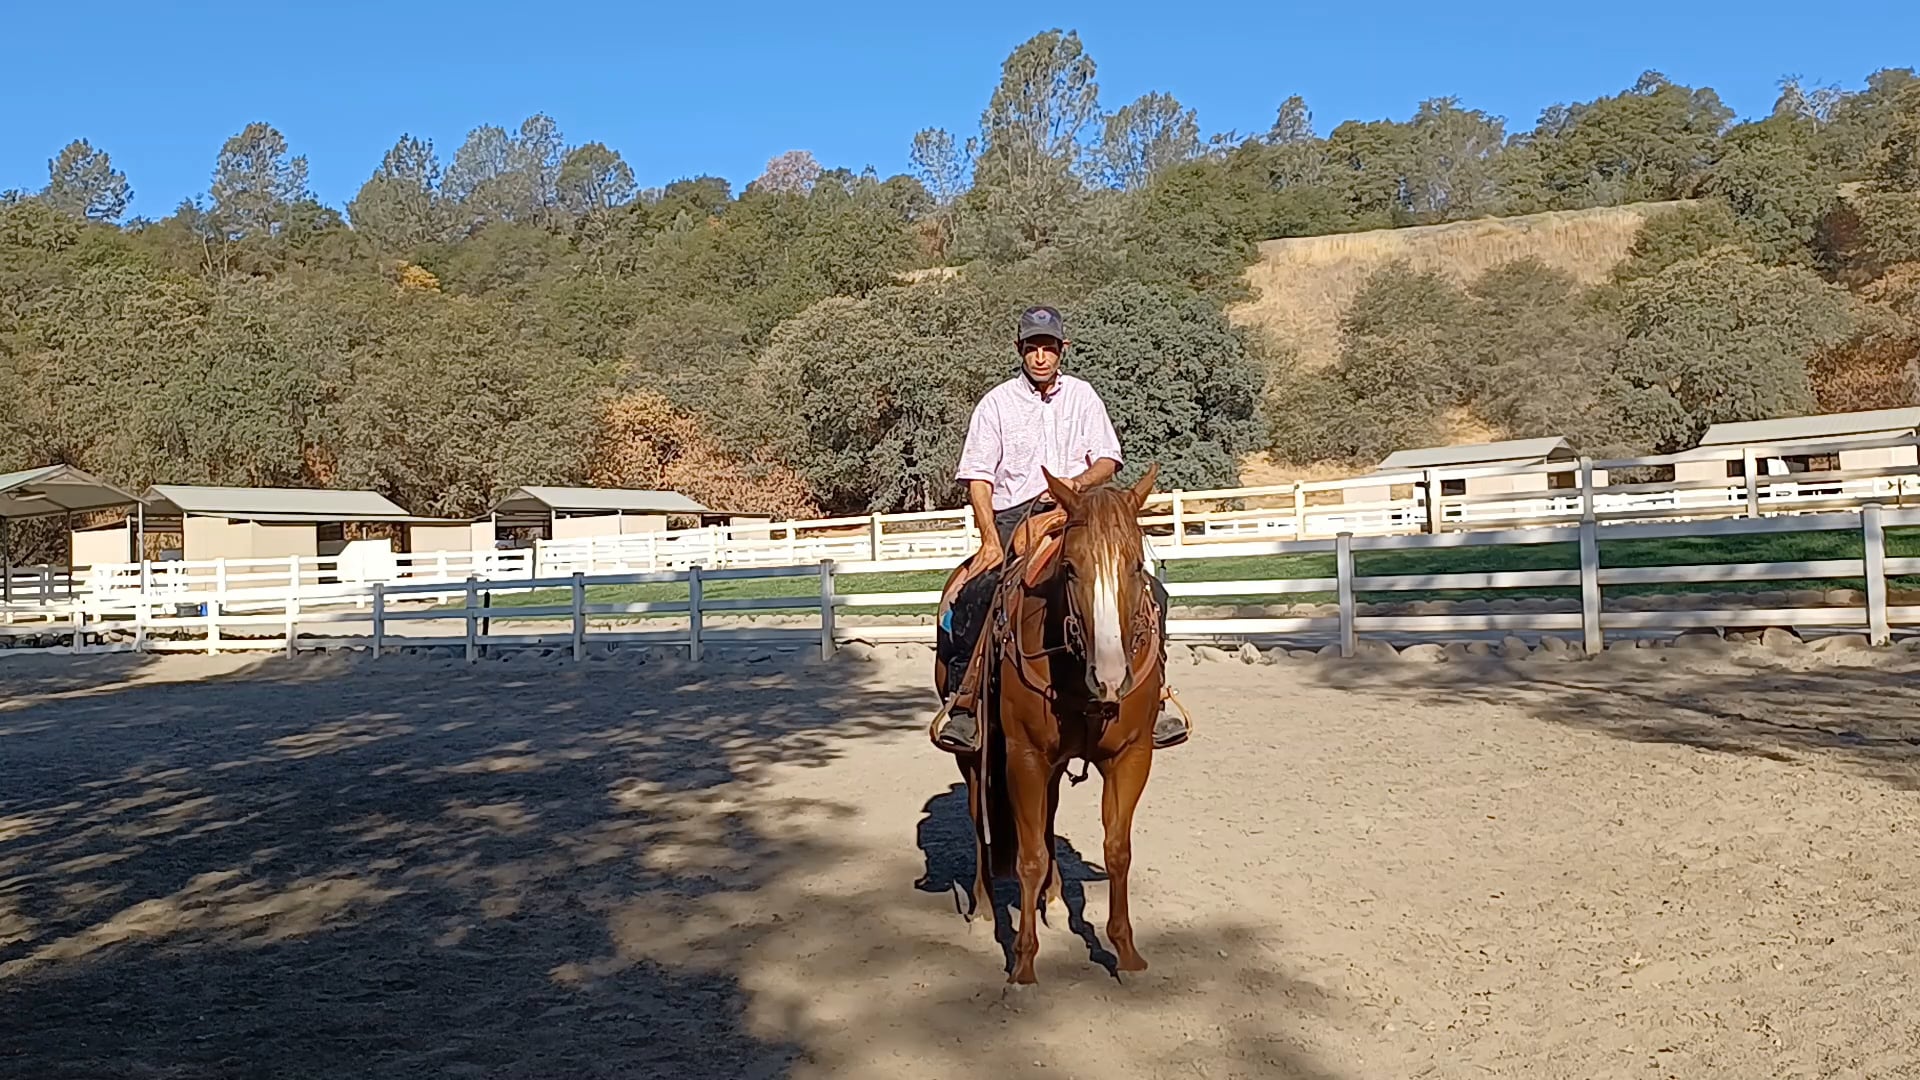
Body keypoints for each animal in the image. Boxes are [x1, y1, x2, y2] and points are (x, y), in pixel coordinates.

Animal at [934, 463, 1167, 985]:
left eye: (1136, 565)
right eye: (1071, 568)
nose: (1111, 677)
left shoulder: (1132, 755)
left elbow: (1117, 849)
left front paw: (1127, 954)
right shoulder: (1025, 756)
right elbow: (1028, 856)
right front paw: (1023, 964)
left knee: (1048, 819)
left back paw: (1056, 901)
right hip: (975, 758)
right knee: (980, 819)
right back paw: (983, 907)